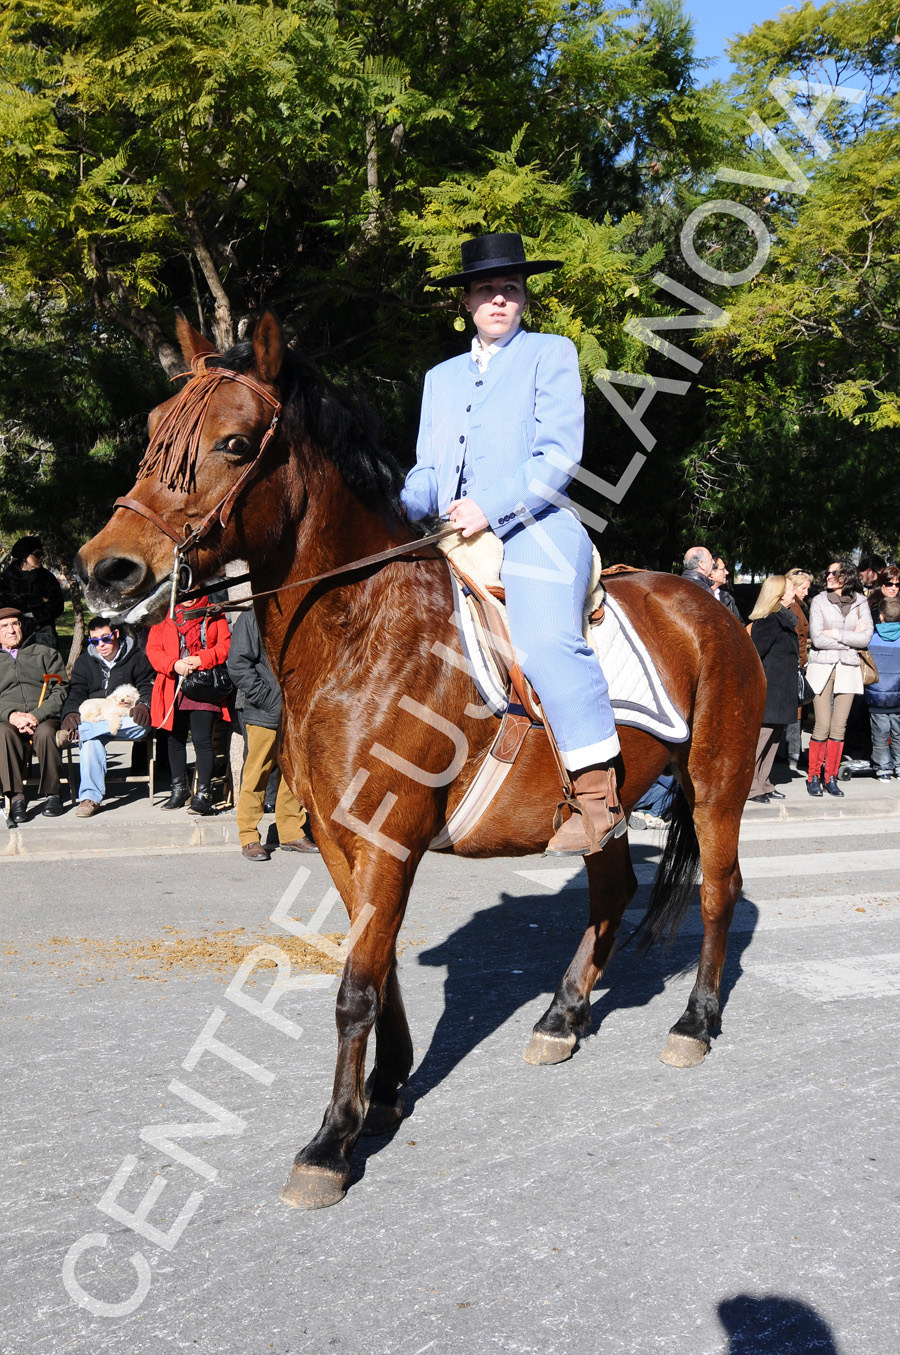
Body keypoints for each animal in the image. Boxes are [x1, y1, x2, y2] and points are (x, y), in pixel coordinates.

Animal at [78, 311, 764, 1214]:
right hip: (605, 812)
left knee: (719, 893)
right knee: (612, 891)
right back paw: (563, 1015)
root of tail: (711, 605)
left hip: (717, 787)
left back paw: (694, 1021)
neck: (363, 627)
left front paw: (330, 1140)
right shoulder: (343, 841)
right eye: (156, 430)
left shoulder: (388, 837)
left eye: (233, 443)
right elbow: (380, 962)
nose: (107, 568)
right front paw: (387, 1090)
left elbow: (356, 985)